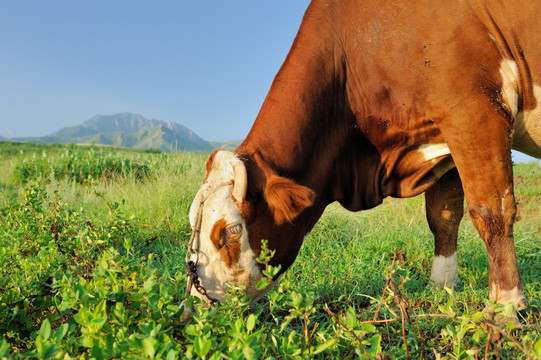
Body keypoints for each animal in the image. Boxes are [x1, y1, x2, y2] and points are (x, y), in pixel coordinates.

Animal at [184, 0, 536, 316]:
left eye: (229, 231)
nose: (196, 304)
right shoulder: (443, 134)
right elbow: (443, 217)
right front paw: (440, 289)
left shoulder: (473, 110)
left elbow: (491, 212)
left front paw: (504, 307)